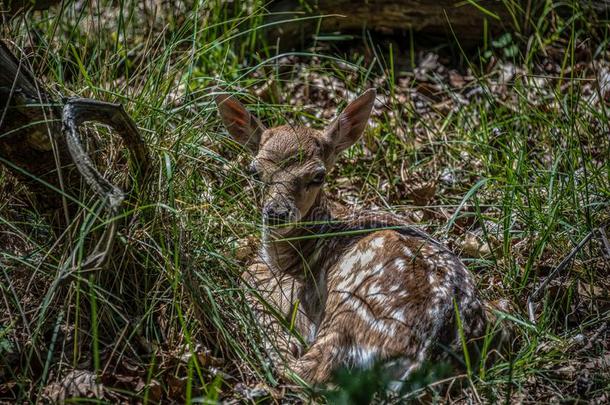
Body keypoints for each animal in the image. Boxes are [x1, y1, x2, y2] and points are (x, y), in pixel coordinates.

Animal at [214, 87, 498, 386]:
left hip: (350, 302)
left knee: (304, 370)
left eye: (318, 176)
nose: (276, 213)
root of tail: (424, 357)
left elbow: (248, 279)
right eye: (254, 172)